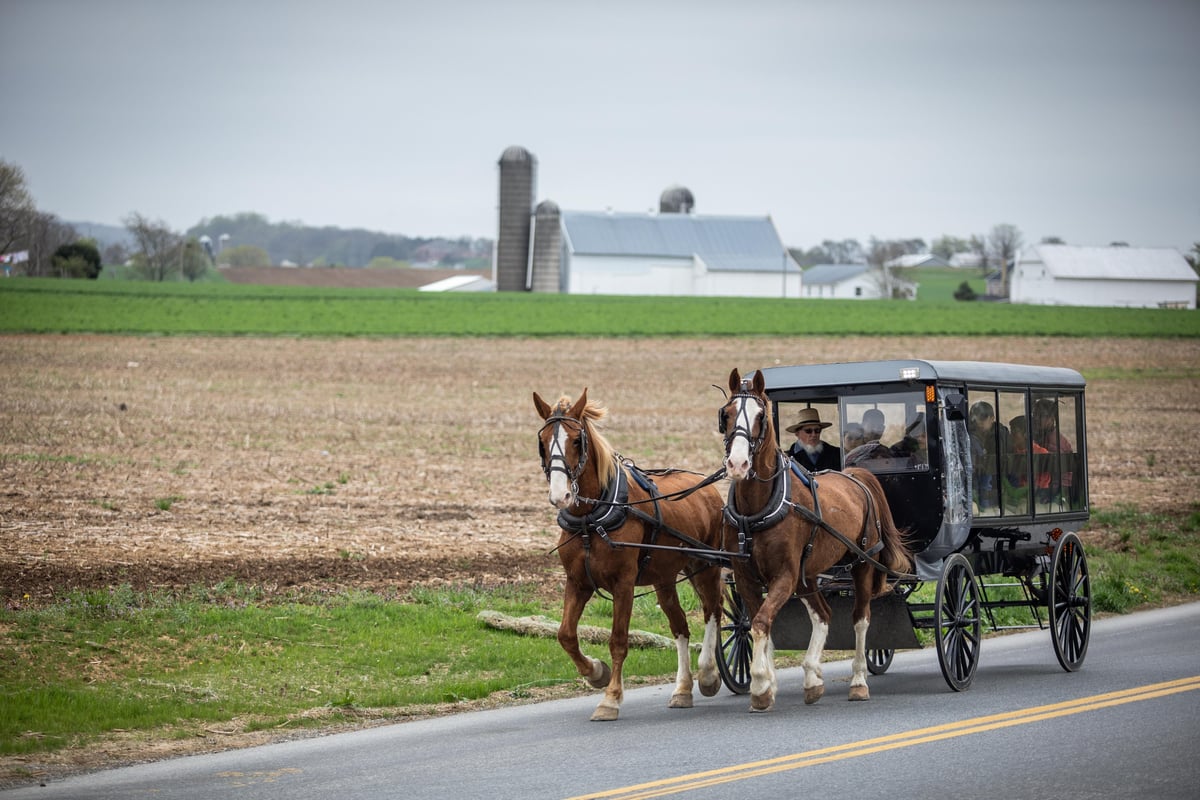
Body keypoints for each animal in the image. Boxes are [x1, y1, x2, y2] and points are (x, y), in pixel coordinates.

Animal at [537, 391, 724, 724]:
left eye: (577, 441)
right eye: (543, 442)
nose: (561, 496)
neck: (590, 520)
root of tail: (708, 487)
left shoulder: (623, 584)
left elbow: (618, 640)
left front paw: (610, 699)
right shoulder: (577, 582)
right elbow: (566, 635)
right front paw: (595, 673)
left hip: (706, 565)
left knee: (713, 610)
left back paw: (708, 674)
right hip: (665, 578)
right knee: (680, 626)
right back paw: (682, 689)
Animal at [715, 369, 912, 714]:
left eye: (760, 415)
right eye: (725, 414)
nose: (738, 465)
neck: (758, 509)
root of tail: (855, 475)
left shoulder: (784, 574)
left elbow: (763, 621)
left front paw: (761, 684)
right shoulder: (746, 576)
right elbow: (758, 623)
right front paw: (767, 685)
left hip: (860, 564)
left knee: (860, 618)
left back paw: (858, 681)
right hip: (807, 575)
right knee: (824, 615)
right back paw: (812, 679)